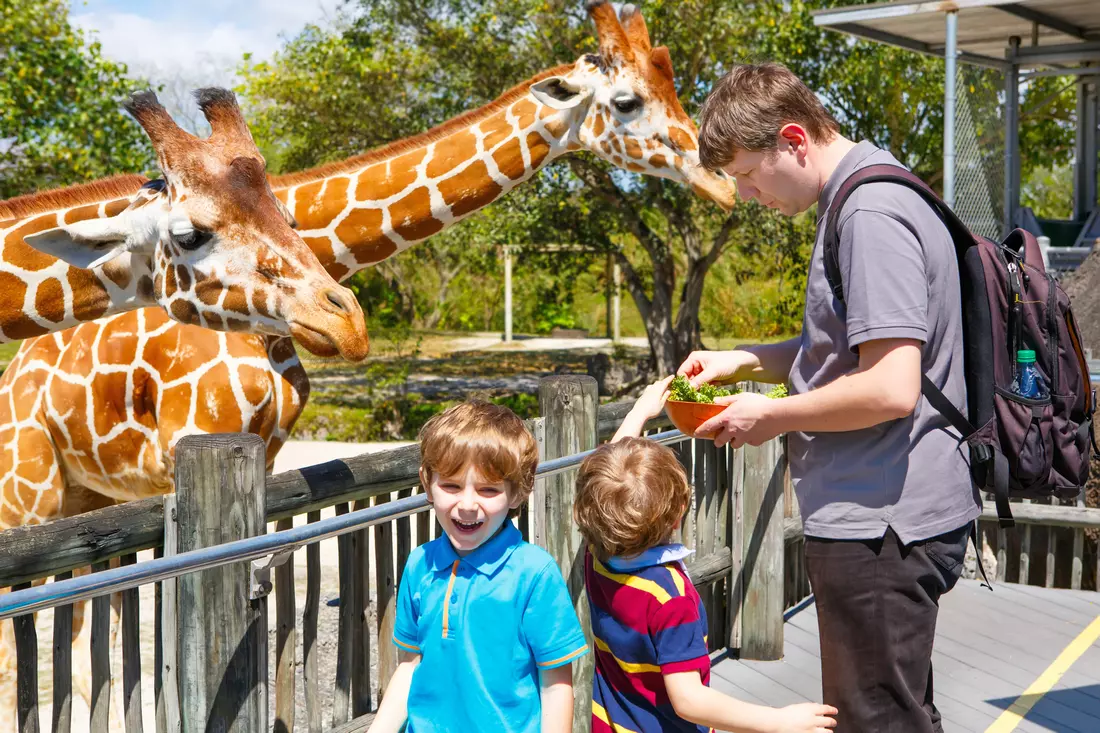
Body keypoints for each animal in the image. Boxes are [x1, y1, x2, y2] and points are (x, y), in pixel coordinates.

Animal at [2, 2, 739, 721]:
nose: (722, 182)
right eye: (627, 101)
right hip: (28, 492)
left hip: (89, 493)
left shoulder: (262, 453)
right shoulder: (195, 432)